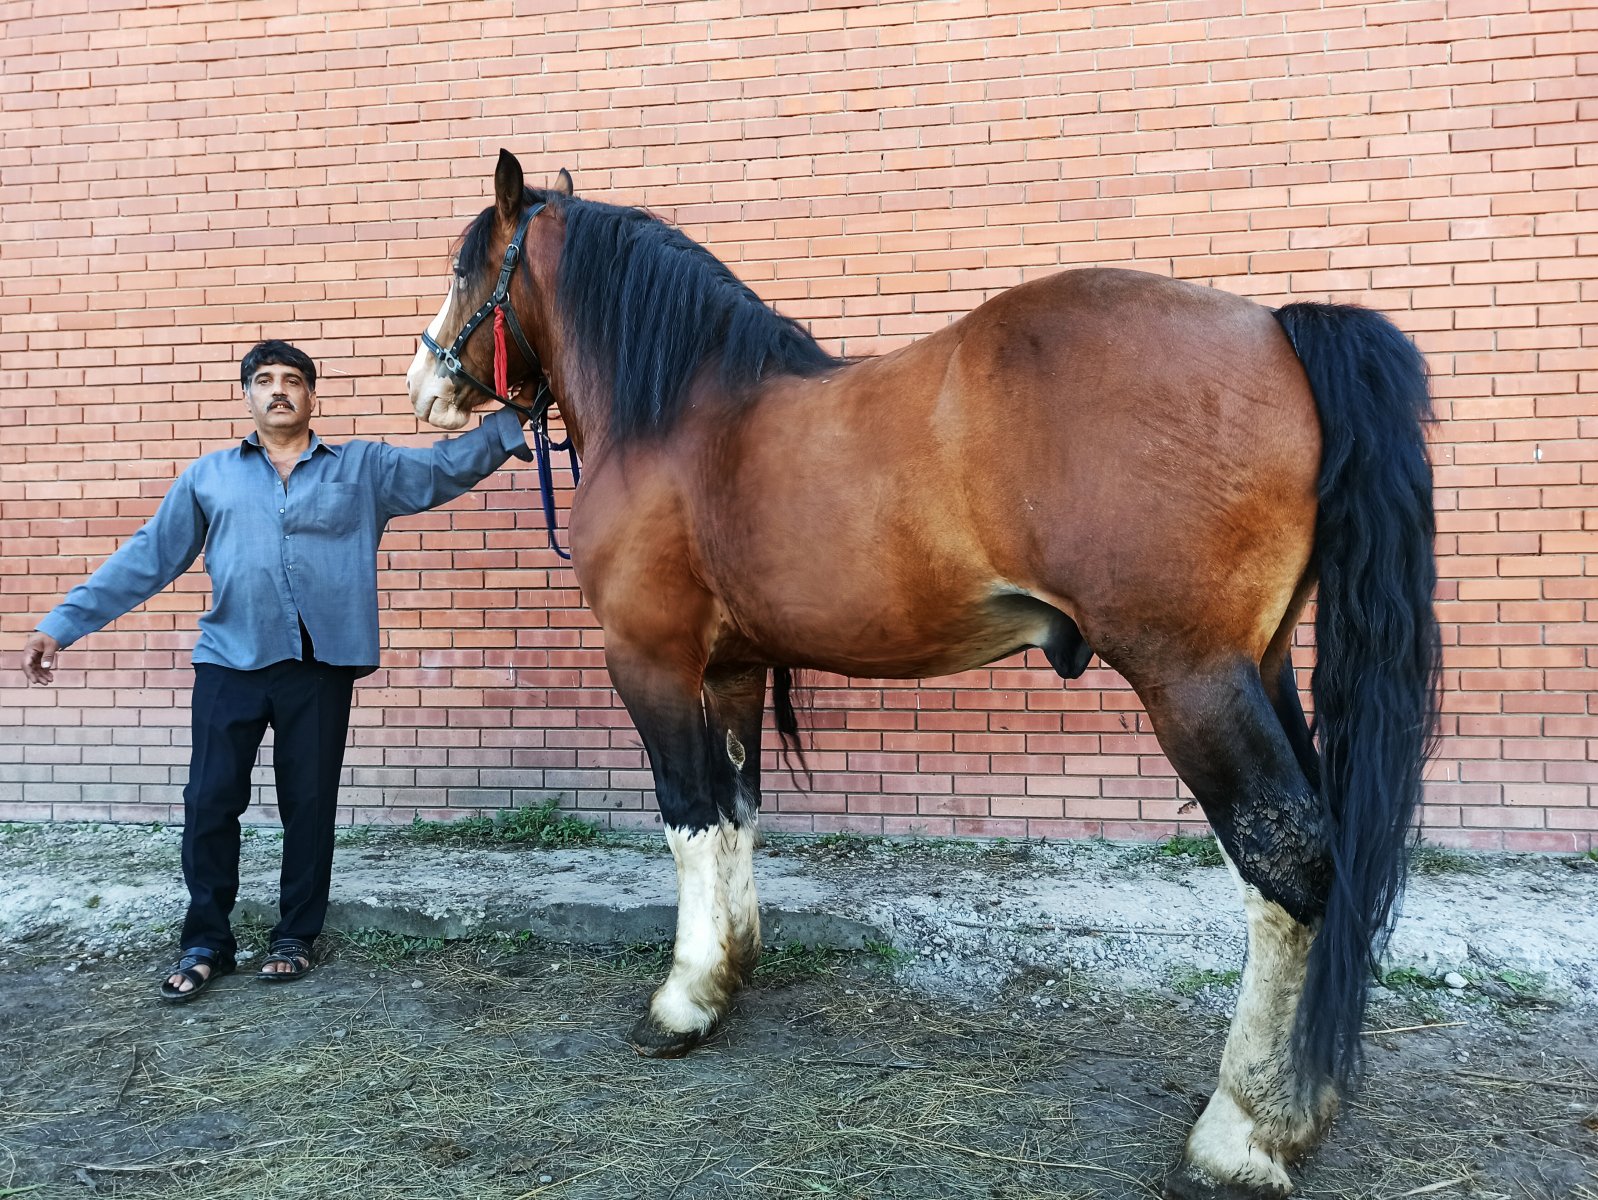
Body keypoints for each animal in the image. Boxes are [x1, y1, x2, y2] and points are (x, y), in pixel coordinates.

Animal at [406, 150, 1440, 1200]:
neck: (682, 415)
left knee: (1289, 869)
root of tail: (1273, 326)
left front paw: (681, 1002)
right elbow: (736, 816)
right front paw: (729, 975)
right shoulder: (733, 669)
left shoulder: (650, 662)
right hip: (1261, 670)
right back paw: (1303, 1109)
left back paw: (1242, 1133)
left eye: (464, 266)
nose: (424, 385)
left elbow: (689, 819)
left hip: (1193, 681)